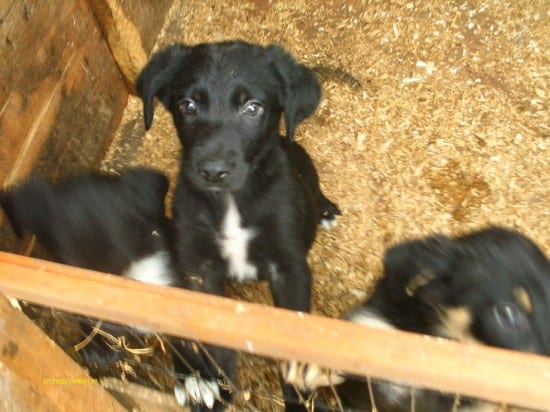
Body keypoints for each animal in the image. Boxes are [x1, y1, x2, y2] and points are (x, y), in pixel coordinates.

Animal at [137, 40, 340, 410]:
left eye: (252, 108)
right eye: (187, 106)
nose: (212, 171)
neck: (231, 202)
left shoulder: (289, 268)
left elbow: (293, 342)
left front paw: (298, 398)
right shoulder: (199, 269)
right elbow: (212, 335)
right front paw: (214, 386)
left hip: (303, 160)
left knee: (315, 187)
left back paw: (326, 210)